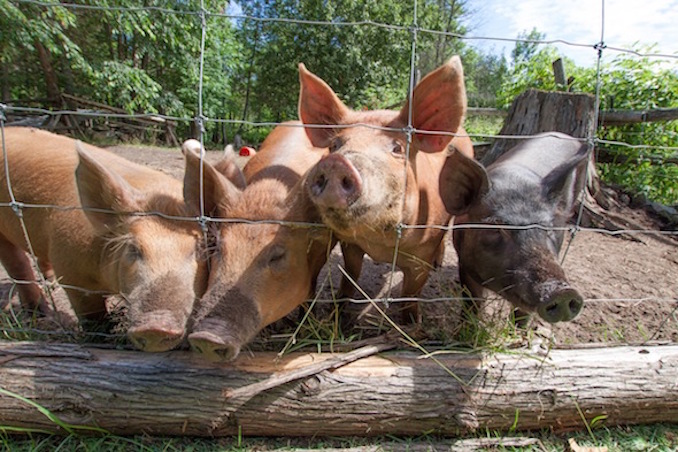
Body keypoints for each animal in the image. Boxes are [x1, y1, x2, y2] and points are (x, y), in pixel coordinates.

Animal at [0, 127, 214, 354]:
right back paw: (41, 314)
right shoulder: (72, 273)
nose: (156, 326)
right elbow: (93, 317)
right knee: (17, 265)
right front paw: (98, 340)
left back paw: (50, 285)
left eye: (199, 250)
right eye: (133, 249)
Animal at [300, 56, 480, 324]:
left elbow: (411, 293)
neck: (380, 243)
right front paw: (337, 312)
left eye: (397, 148)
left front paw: (412, 323)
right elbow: (350, 277)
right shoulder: (350, 244)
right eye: (335, 145)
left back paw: (439, 263)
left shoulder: (421, 254)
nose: (336, 163)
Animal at [446, 132, 588, 324]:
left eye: (549, 228)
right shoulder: (465, 264)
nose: (563, 291)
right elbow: (472, 304)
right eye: (495, 226)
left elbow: (522, 313)